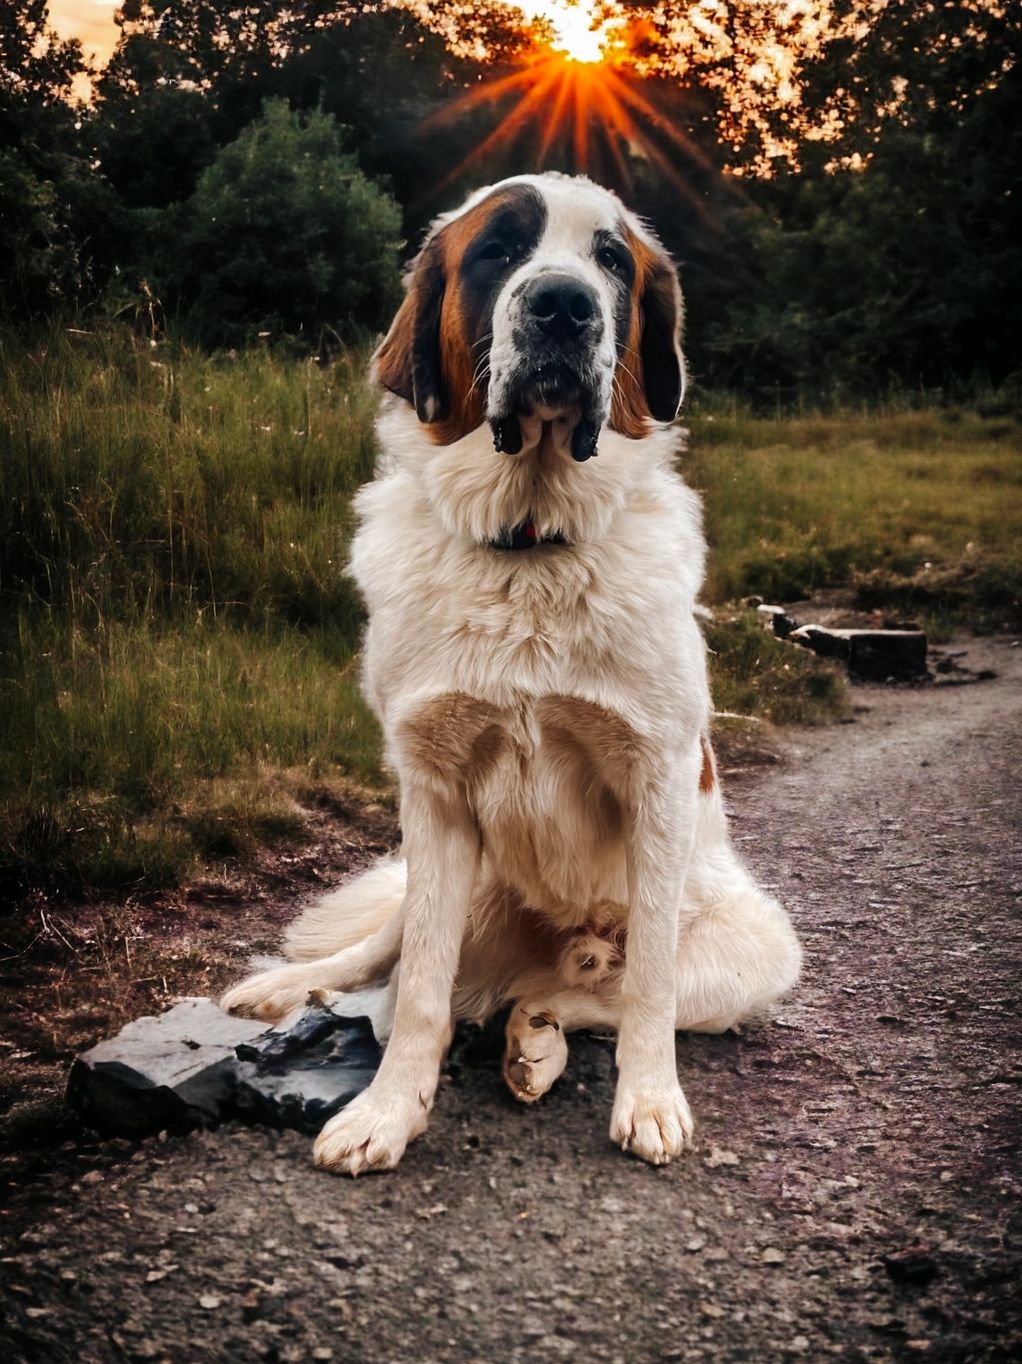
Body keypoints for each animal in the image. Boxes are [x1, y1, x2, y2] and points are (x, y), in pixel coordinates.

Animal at [221, 173, 801, 1174]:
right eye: (499, 250)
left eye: (611, 262)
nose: (564, 305)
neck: (530, 545)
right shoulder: (433, 790)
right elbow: (418, 990)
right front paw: (387, 1112)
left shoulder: (656, 777)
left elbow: (647, 989)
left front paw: (650, 1102)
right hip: (457, 880)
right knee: (395, 956)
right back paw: (289, 986)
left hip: (757, 947)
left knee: (577, 993)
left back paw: (537, 1034)